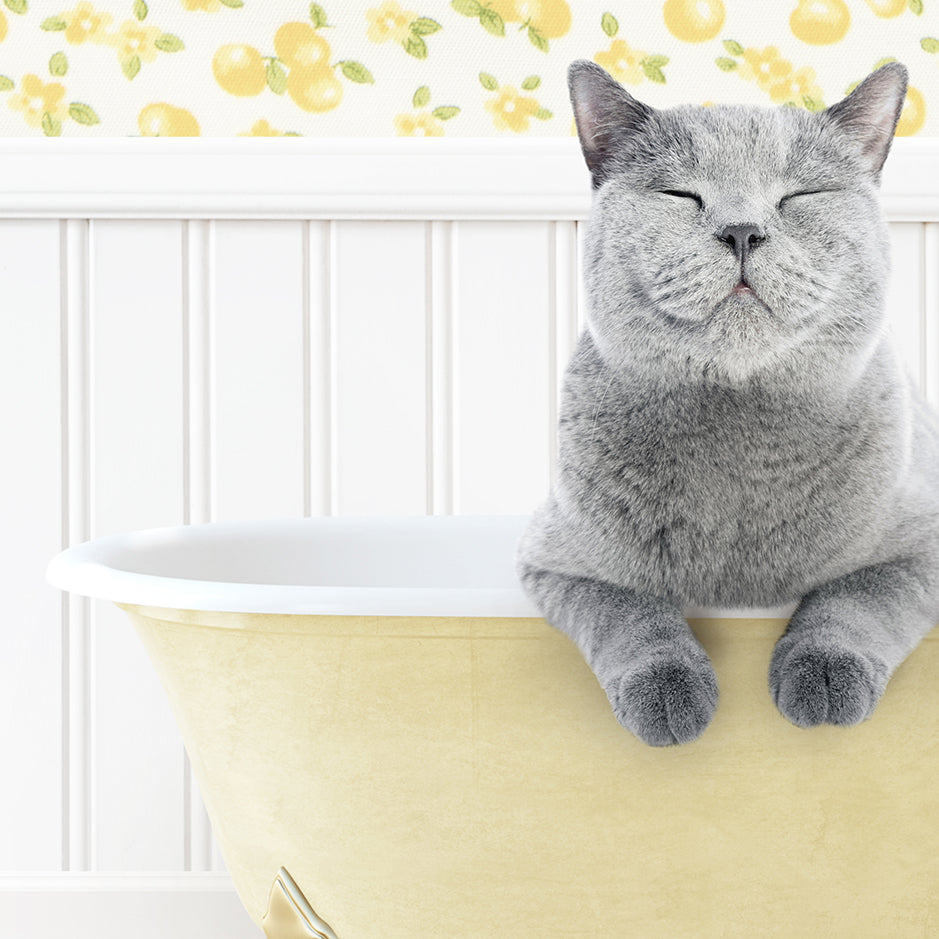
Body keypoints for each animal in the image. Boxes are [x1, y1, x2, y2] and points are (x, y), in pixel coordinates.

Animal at [516, 58, 939, 748]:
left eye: (799, 197)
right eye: (680, 196)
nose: (743, 231)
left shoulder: (923, 542)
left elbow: (856, 598)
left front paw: (824, 678)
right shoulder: (558, 561)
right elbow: (629, 611)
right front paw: (669, 694)